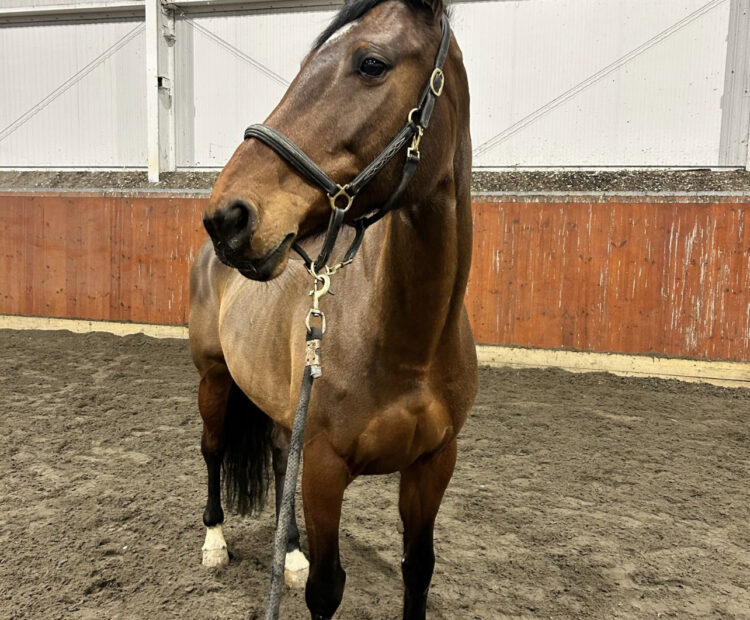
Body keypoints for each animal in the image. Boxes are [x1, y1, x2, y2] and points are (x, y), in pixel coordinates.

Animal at [188, 0, 477, 617]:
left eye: (371, 63)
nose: (228, 216)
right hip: (214, 378)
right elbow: (326, 588)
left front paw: (298, 556)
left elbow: (418, 569)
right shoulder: (325, 469)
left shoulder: (433, 465)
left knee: (278, 455)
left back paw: (290, 552)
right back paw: (215, 543)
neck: (411, 346)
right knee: (213, 449)